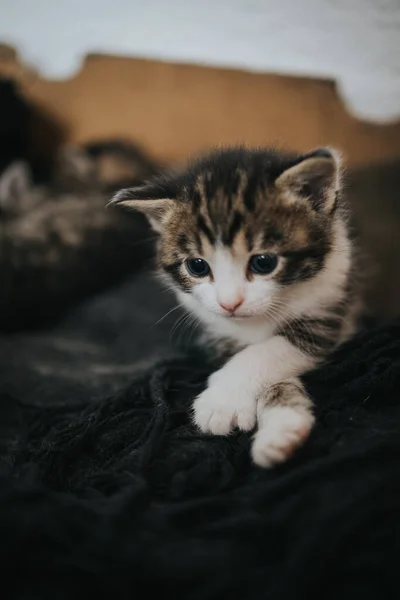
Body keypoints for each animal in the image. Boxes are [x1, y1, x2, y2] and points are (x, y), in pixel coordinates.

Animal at [111, 148, 360, 466]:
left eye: (264, 262)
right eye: (197, 266)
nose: (230, 303)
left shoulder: (331, 308)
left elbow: (267, 351)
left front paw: (225, 402)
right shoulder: (219, 329)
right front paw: (281, 426)